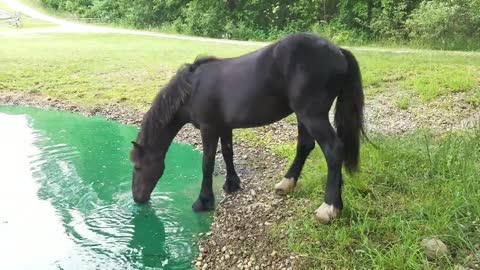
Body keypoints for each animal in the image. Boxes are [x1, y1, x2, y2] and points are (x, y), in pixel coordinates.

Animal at [129, 32, 366, 224]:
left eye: (138, 167)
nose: (137, 198)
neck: (192, 88)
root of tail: (339, 51)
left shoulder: (208, 128)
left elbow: (207, 163)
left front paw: (204, 201)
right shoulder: (224, 127)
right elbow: (227, 153)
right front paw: (232, 184)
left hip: (312, 115)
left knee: (333, 149)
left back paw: (329, 207)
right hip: (304, 116)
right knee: (305, 146)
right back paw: (289, 185)